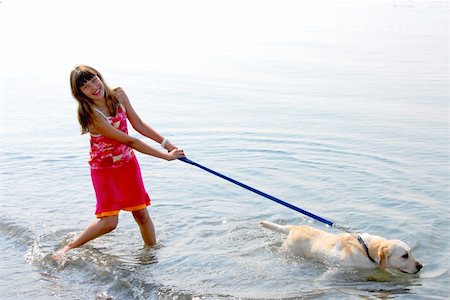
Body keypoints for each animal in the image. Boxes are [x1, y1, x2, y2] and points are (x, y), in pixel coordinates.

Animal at [260, 220, 422, 274]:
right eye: (404, 255)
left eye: (411, 252)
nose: (421, 266)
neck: (367, 251)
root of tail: (294, 228)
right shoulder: (340, 267)